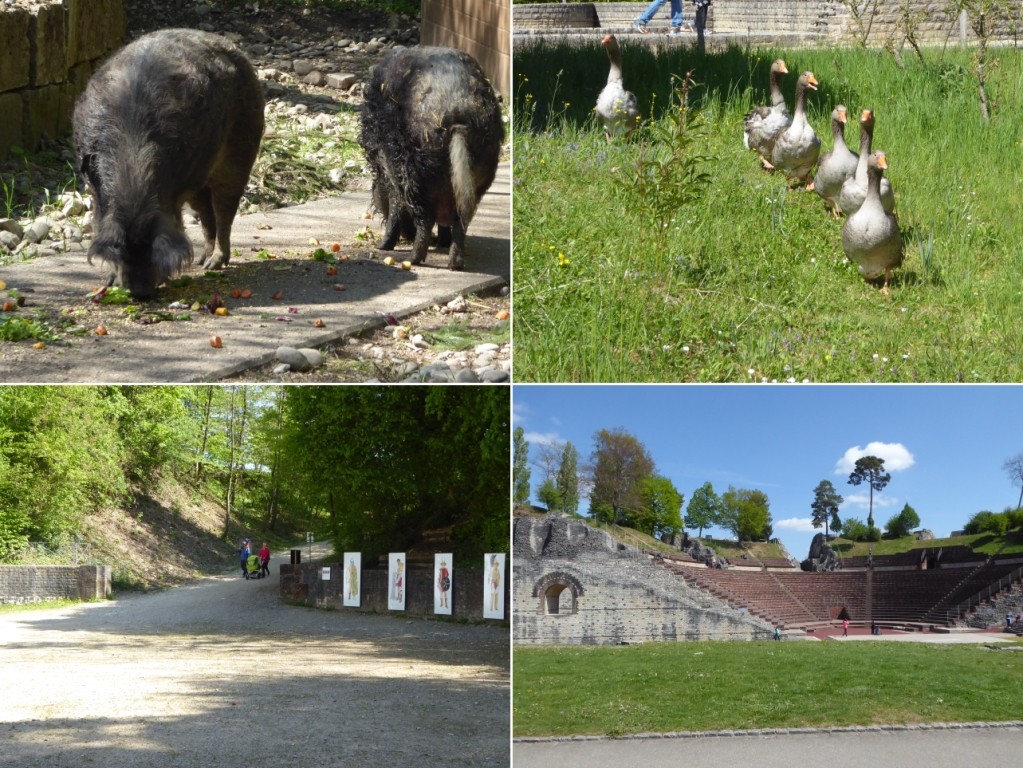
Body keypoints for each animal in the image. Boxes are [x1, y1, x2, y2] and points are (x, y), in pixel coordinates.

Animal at [74, 27, 265, 298]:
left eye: (150, 249)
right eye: (125, 249)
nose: (140, 292)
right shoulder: (94, 189)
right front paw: (109, 281)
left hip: (243, 146)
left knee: (224, 210)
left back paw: (214, 264)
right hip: (199, 180)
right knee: (206, 213)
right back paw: (202, 262)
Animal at [360, 46, 503, 272]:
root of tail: (459, 118)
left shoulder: (392, 171)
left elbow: (396, 206)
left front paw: (382, 247)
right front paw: (441, 243)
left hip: (416, 175)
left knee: (425, 220)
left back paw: (412, 259)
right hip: (479, 174)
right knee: (460, 222)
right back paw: (453, 263)